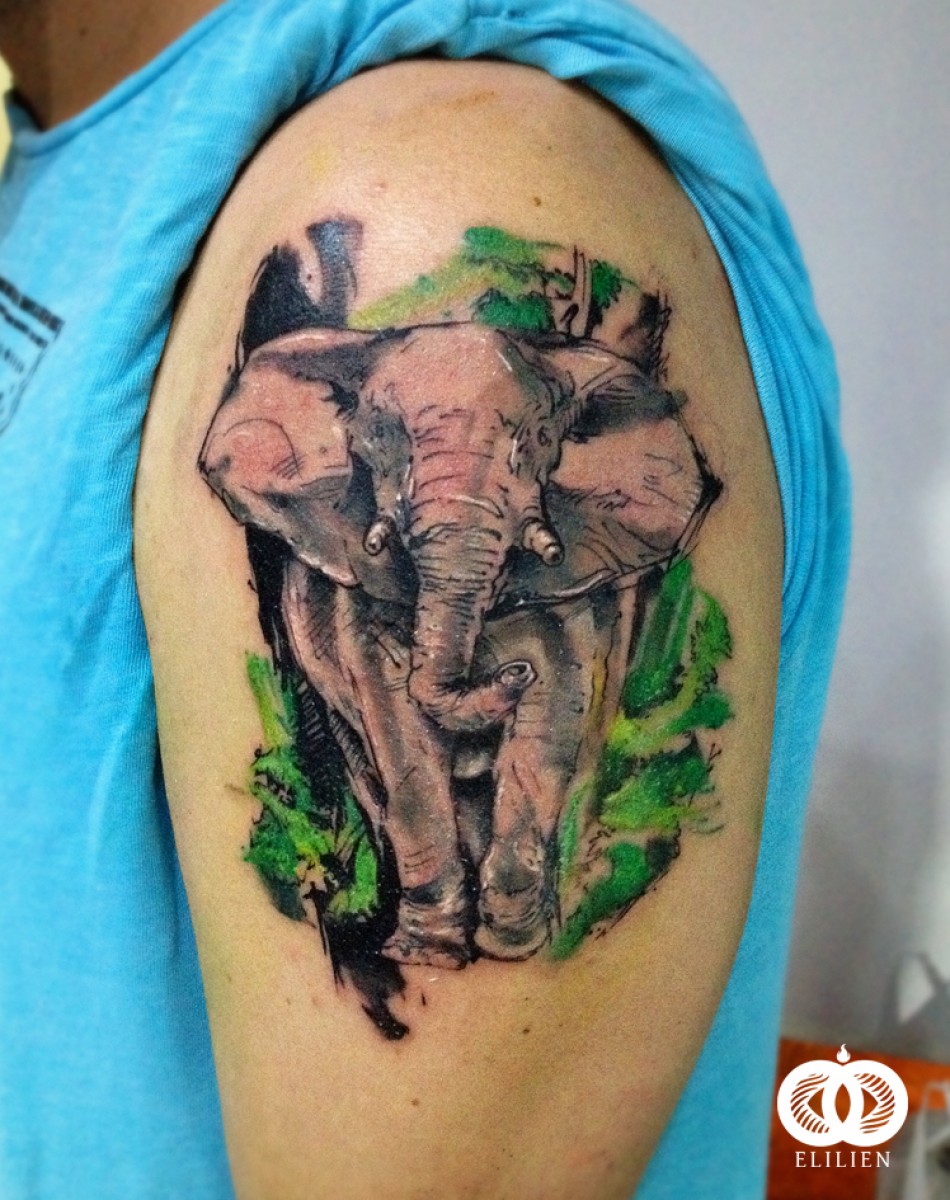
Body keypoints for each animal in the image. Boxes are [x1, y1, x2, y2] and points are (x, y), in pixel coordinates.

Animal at [198, 226, 719, 967]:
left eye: (538, 440)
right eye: (378, 436)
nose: (506, 673)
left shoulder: (572, 602)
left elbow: (554, 717)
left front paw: (514, 946)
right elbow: (400, 736)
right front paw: (427, 954)